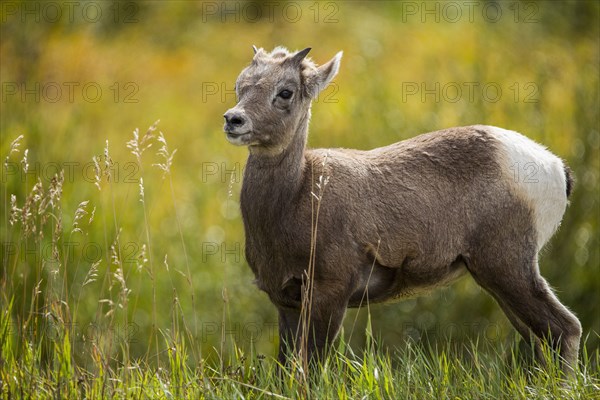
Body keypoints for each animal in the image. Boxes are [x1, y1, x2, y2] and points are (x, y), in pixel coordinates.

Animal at [223, 46, 580, 372]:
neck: (297, 196)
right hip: (496, 281)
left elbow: (308, 368)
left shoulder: (329, 296)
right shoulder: (286, 304)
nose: (233, 120)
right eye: (240, 85)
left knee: (566, 328)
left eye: (285, 92)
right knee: (541, 338)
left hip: (509, 267)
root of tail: (556, 167)